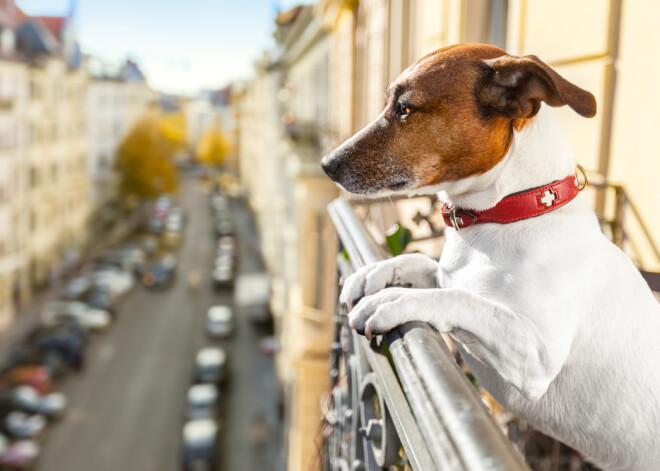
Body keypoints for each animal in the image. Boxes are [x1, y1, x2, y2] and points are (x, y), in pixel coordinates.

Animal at [320, 42, 660, 470]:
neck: (509, 213)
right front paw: (375, 273)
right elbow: (428, 266)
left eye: (405, 108)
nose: (326, 164)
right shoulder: (450, 271)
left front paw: (393, 299)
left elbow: (461, 299)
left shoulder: (538, 355)